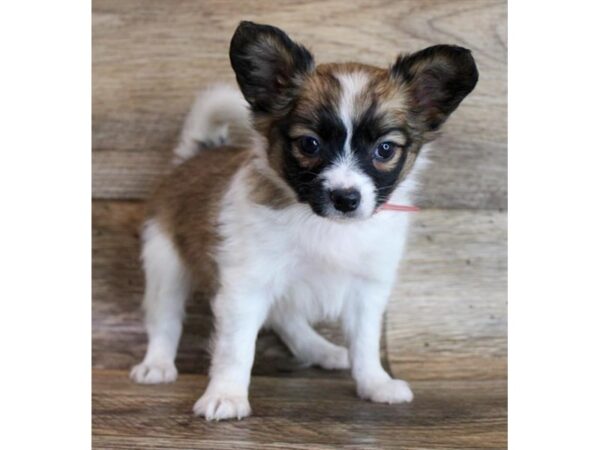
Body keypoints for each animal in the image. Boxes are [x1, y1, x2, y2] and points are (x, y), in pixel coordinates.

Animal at [130, 21, 478, 422]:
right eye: (310, 144)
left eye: (385, 149)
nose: (346, 198)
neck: (325, 224)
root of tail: (196, 153)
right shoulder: (246, 285)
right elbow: (236, 348)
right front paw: (226, 395)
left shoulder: (367, 289)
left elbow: (365, 343)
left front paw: (375, 383)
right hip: (164, 262)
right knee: (165, 320)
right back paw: (156, 365)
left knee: (288, 320)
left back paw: (322, 351)